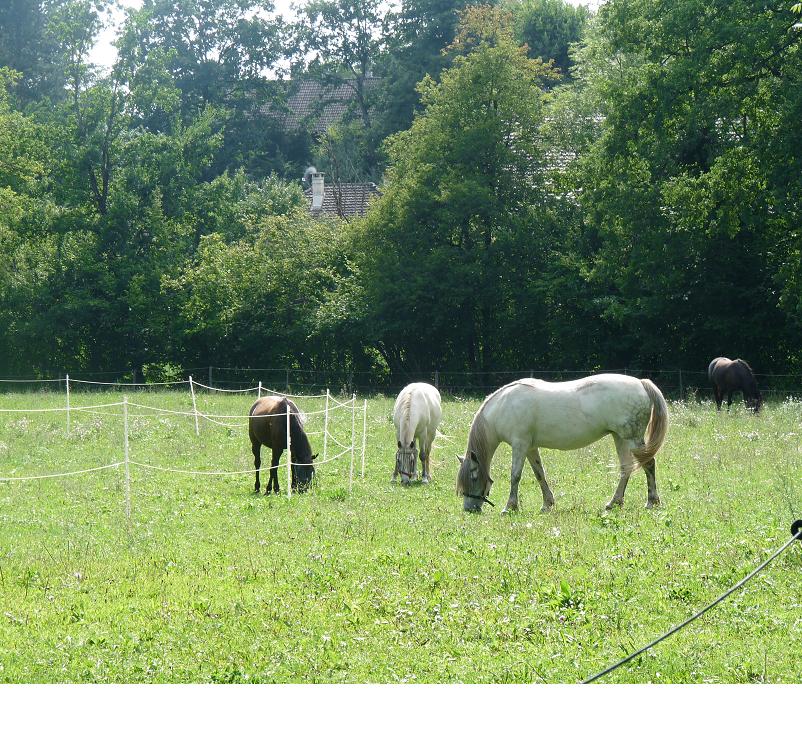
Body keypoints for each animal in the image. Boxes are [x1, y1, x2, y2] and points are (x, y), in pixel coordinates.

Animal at [456, 374, 668, 512]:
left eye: (473, 476)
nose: (469, 509)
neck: (504, 407)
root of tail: (641, 383)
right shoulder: (530, 448)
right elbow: (539, 474)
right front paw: (547, 504)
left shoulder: (520, 445)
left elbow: (515, 476)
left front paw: (510, 507)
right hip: (620, 438)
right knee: (626, 469)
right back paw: (614, 503)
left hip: (632, 438)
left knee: (648, 464)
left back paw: (651, 501)